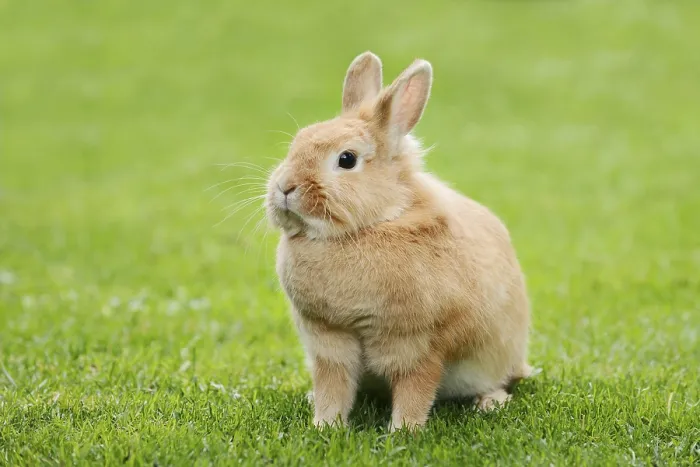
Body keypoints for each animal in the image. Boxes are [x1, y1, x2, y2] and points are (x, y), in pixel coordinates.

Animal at [265, 51, 533, 431]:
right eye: (297, 142)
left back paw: (490, 403)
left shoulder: (416, 345)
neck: (372, 226)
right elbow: (333, 388)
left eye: (346, 159)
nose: (285, 187)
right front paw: (325, 426)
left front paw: (403, 432)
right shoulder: (328, 344)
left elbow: (414, 390)